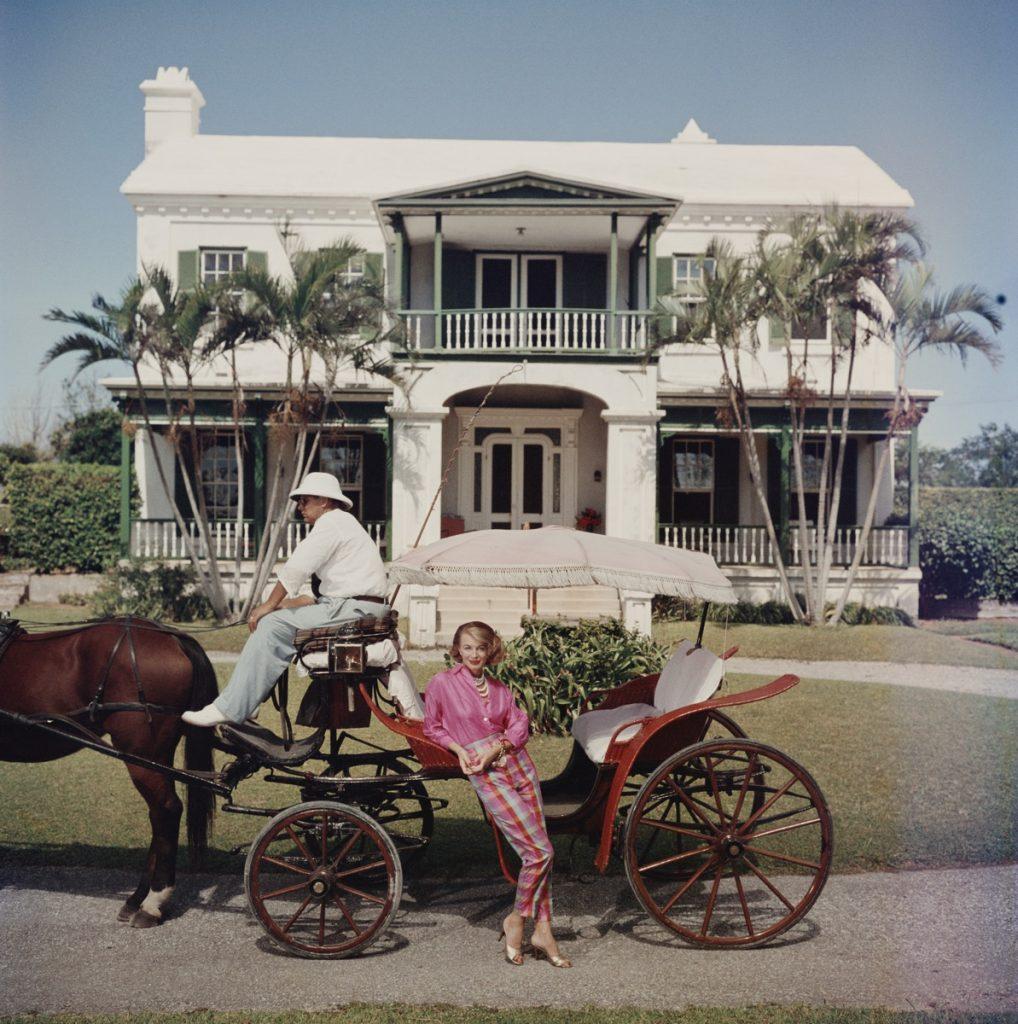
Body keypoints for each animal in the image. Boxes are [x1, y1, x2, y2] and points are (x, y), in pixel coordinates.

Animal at [0, 614, 218, 929]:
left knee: (166, 810)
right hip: (155, 757)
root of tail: (172, 636)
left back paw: (153, 902)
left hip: (142, 756)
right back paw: (137, 898)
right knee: (159, 815)